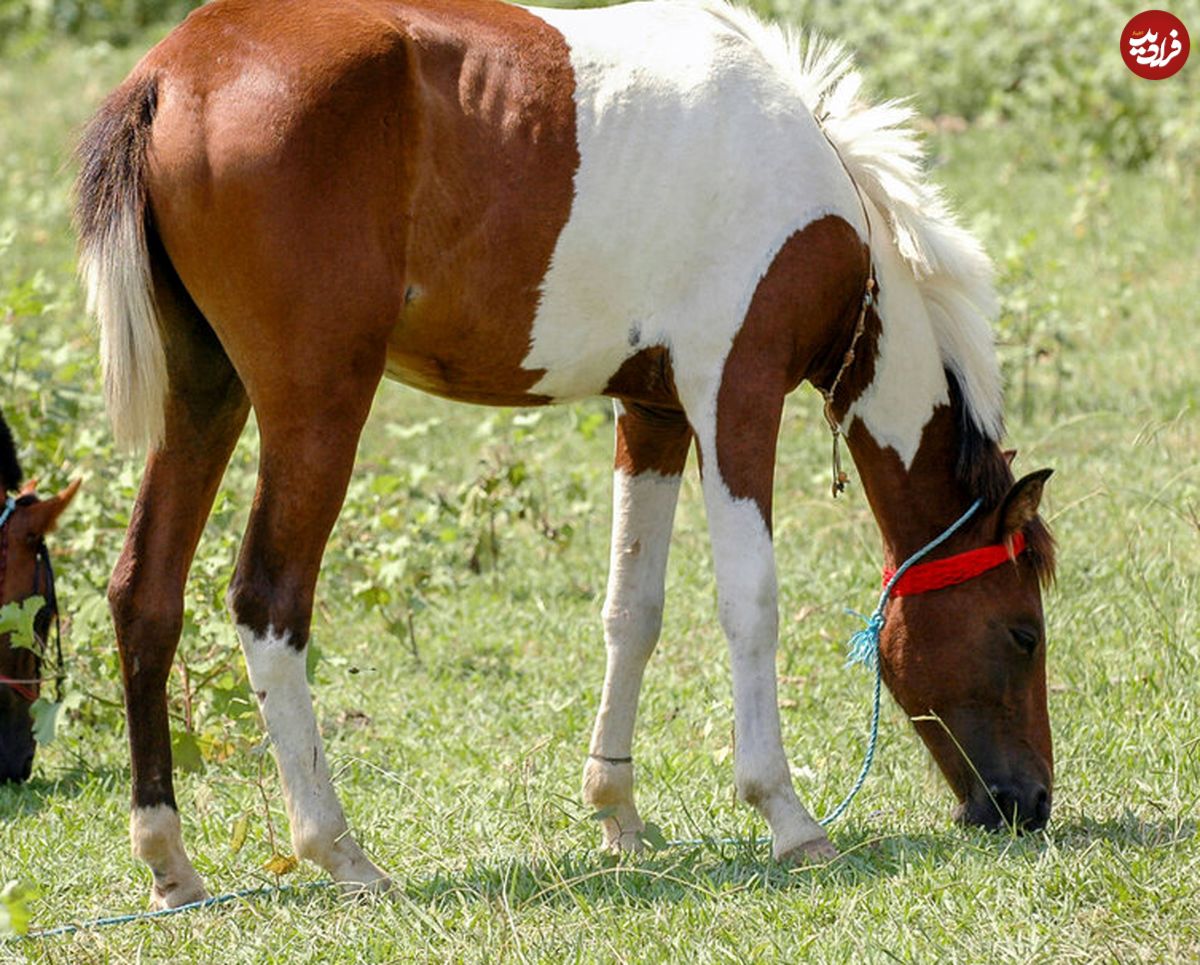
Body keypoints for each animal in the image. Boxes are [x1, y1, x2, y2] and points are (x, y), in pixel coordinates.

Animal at [75, 0, 1056, 907]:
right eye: (1024, 633)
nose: (1030, 805)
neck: (816, 193)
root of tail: (174, 71)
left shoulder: (653, 413)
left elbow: (634, 609)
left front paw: (617, 808)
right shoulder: (733, 397)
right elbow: (750, 603)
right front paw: (785, 814)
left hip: (203, 394)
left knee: (145, 592)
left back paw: (170, 862)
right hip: (316, 407)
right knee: (267, 602)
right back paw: (339, 851)